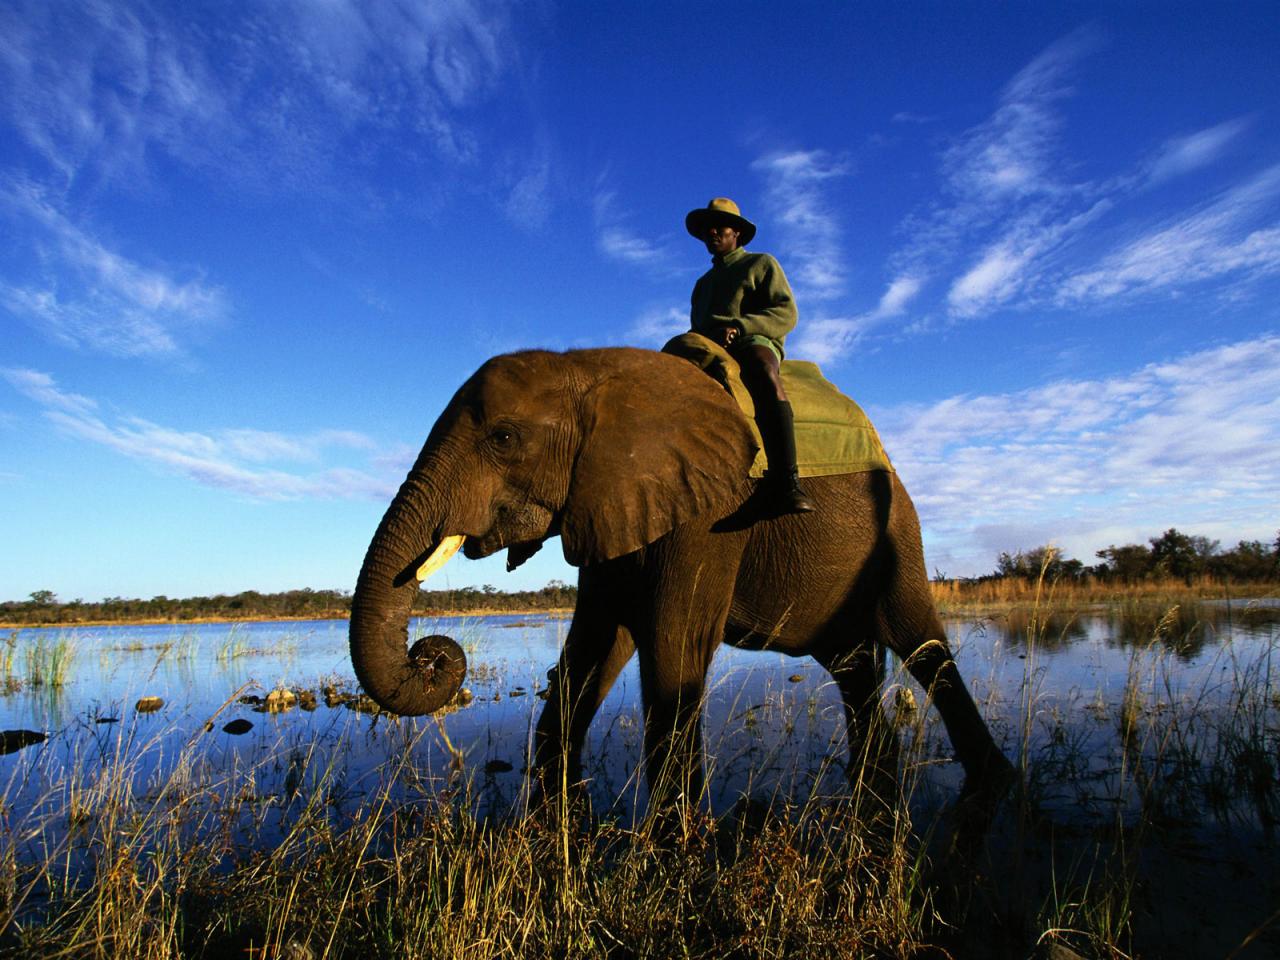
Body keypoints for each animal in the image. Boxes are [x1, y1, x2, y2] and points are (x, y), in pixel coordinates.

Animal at [348, 345, 1008, 814]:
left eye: (504, 438)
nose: (429, 653)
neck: (591, 368)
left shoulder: (712, 514)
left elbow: (673, 641)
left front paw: (676, 829)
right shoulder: (608, 501)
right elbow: (594, 645)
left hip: (898, 536)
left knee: (923, 647)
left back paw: (991, 779)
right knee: (852, 663)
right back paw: (873, 775)